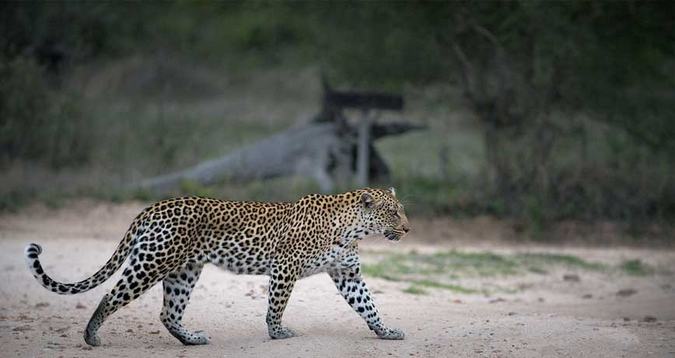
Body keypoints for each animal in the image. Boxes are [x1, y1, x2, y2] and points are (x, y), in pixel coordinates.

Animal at [23, 187, 410, 346]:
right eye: (393, 212)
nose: (408, 229)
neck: (351, 228)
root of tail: (152, 207)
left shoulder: (347, 274)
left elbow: (368, 305)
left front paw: (386, 331)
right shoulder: (285, 269)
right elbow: (276, 305)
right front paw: (277, 333)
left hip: (183, 271)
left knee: (168, 313)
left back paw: (192, 340)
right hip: (153, 261)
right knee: (111, 295)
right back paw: (91, 336)